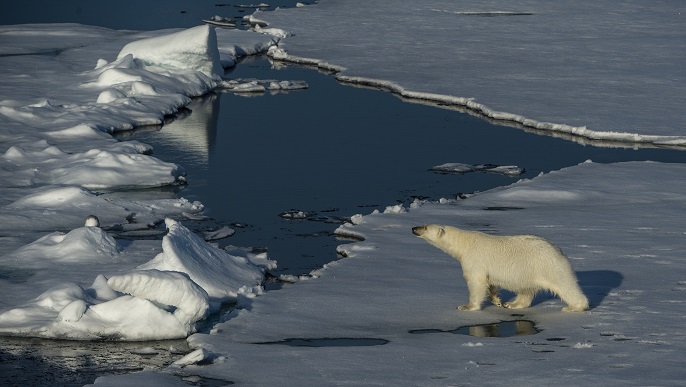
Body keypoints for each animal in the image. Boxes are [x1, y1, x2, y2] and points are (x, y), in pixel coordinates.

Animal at [414, 224, 592, 312]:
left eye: (425, 227)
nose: (413, 229)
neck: (466, 244)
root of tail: (559, 250)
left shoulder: (475, 261)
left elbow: (476, 283)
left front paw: (466, 306)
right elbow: (490, 283)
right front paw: (497, 300)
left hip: (548, 266)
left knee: (565, 285)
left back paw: (573, 307)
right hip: (529, 271)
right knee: (526, 290)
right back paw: (512, 304)